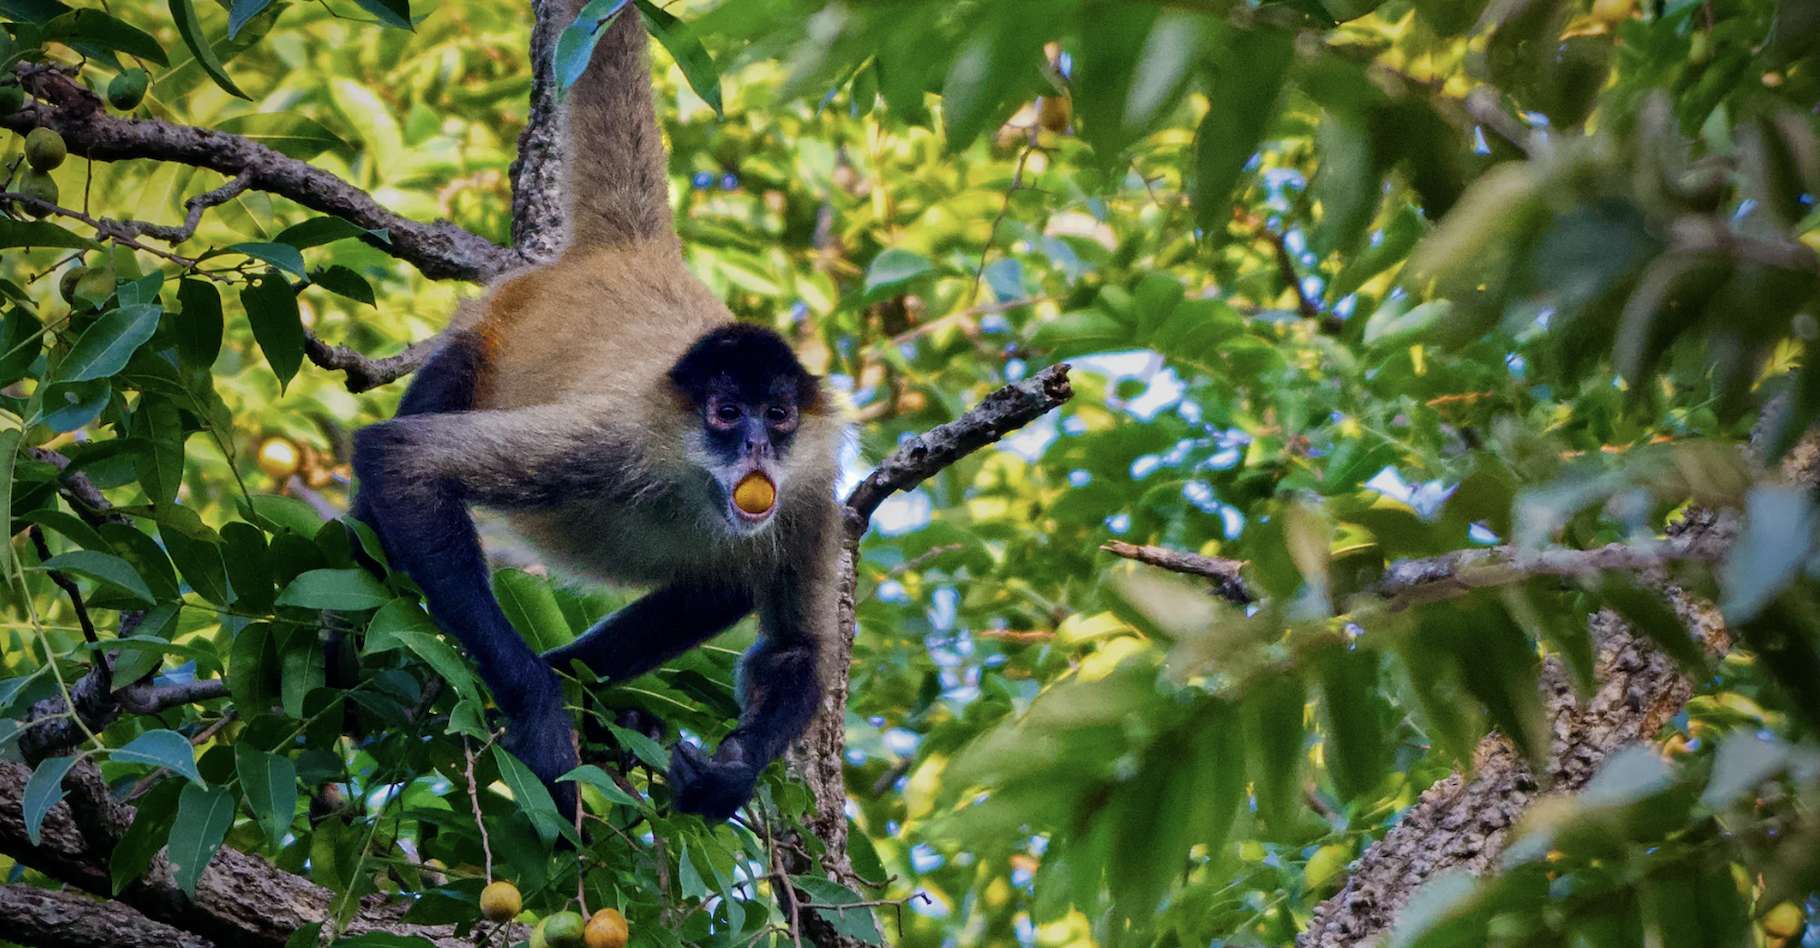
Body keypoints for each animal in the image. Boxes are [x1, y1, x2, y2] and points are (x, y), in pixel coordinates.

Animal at [349, 1, 844, 818]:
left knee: (723, 582)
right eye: (724, 412)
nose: (755, 449)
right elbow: (401, 461)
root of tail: (632, 253)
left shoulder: (808, 492)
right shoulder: (615, 439)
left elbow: (793, 650)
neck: (695, 486)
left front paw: (730, 775)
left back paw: (592, 692)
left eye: (776, 415)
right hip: (486, 335)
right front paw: (540, 706)